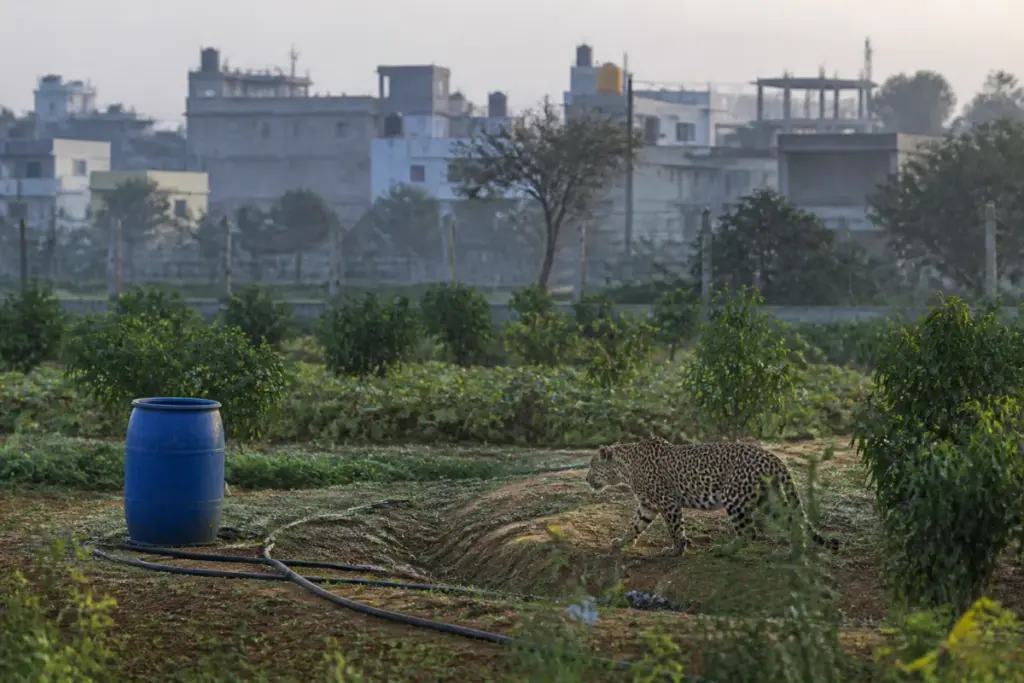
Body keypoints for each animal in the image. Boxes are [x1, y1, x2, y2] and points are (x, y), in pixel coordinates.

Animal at [585, 436, 840, 556]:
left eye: (592, 465)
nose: (586, 479)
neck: (625, 468)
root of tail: (774, 459)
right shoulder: (648, 505)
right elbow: (635, 525)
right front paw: (622, 542)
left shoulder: (668, 501)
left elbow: (675, 528)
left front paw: (676, 550)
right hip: (770, 499)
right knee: (794, 522)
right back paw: (794, 551)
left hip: (734, 497)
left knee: (749, 532)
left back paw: (723, 550)